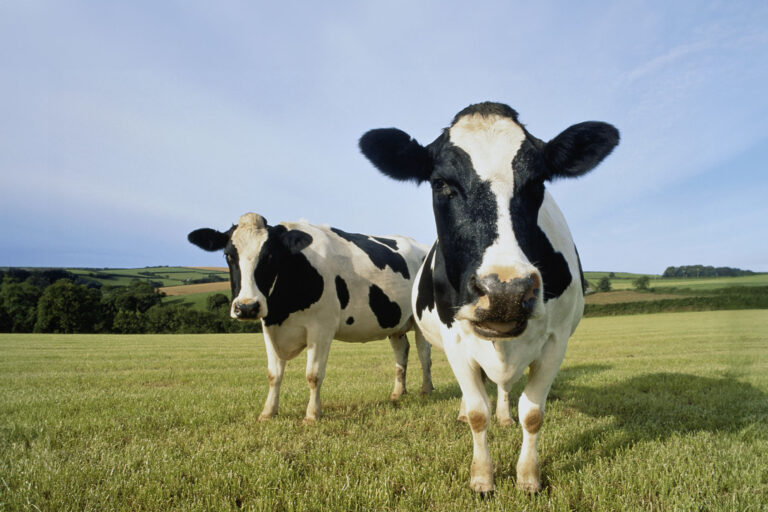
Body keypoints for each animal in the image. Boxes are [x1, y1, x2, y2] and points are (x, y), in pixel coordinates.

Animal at [188, 213, 434, 424]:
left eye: (269, 256)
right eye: (229, 255)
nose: (246, 307)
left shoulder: (321, 328)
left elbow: (313, 375)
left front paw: (312, 415)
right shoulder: (269, 327)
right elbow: (273, 374)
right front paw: (268, 412)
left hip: (421, 321)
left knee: (424, 356)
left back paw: (426, 390)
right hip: (396, 323)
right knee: (401, 353)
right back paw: (398, 393)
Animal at [359, 102, 619, 494]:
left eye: (538, 182)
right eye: (441, 183)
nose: (505, 291)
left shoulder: (557, 339)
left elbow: (533, 413)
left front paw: (528, 477)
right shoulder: (454, 337)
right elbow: (478, 413)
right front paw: (482, 478)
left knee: (503, 386)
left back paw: (505, 415)